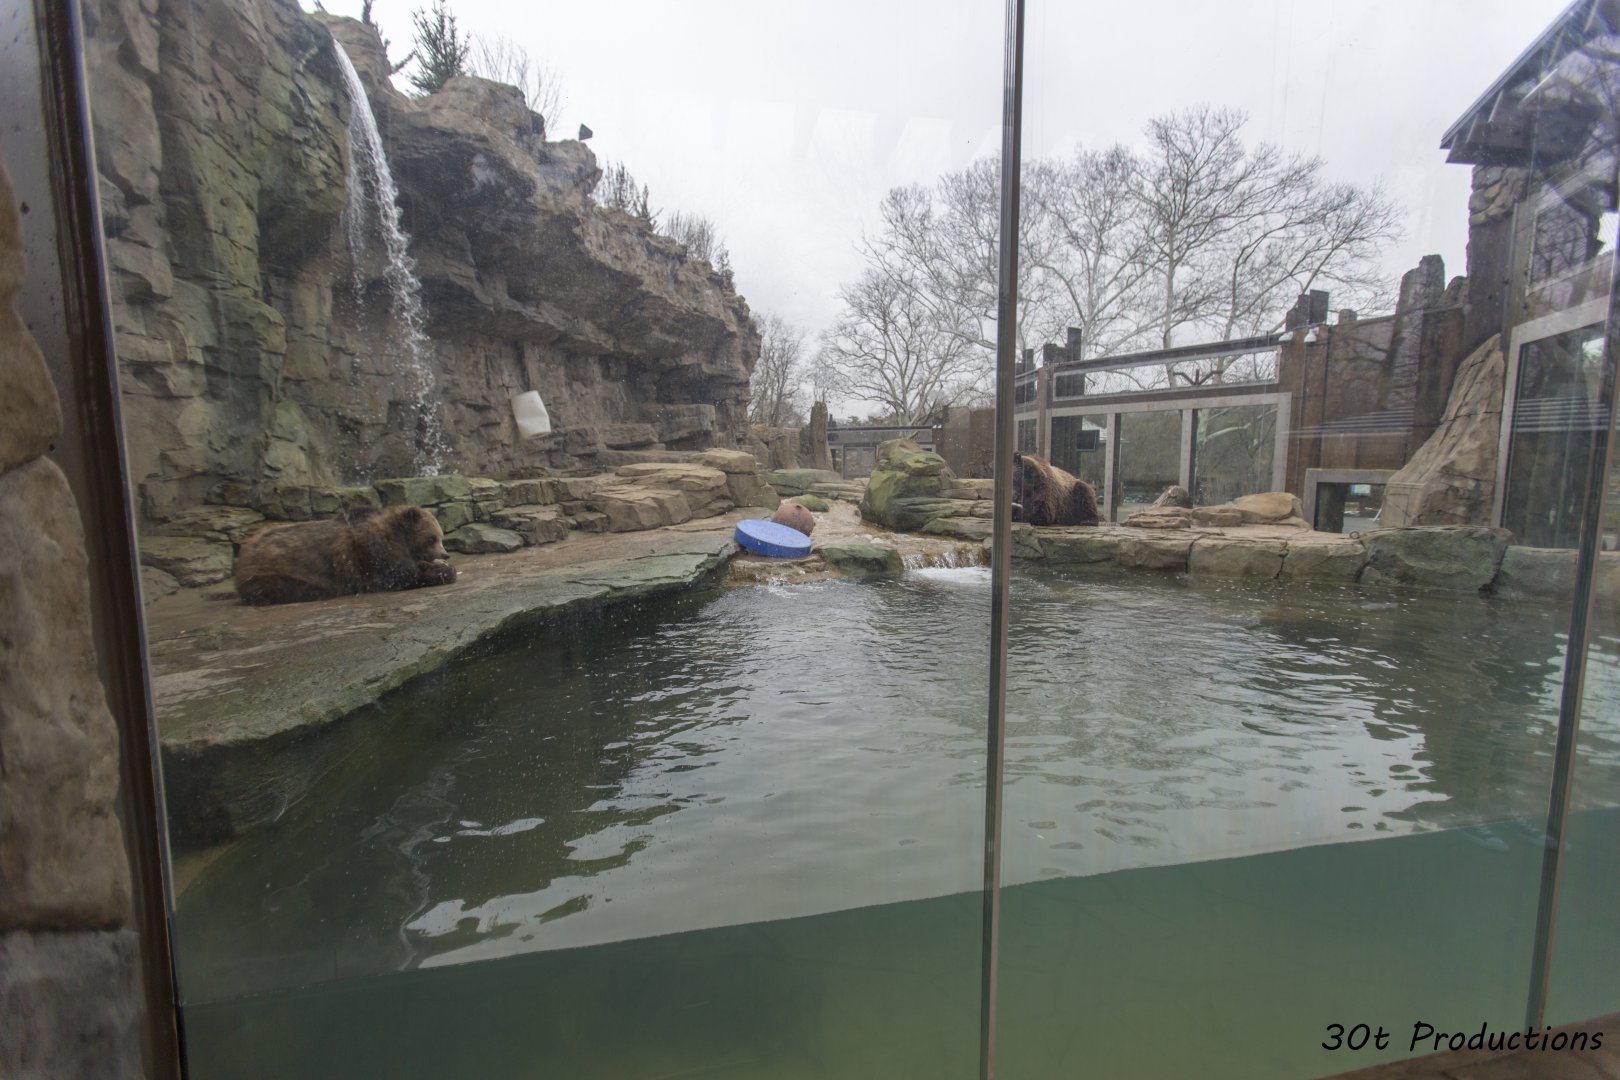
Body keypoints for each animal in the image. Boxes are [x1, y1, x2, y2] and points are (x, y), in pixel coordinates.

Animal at [233, 505, 457, 605]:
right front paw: (443, 572)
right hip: (273, 571)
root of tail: (244, 550)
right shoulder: (372, 555)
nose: (445, 554)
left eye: (441, 536)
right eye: (432, 538)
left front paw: (441, 567)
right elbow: (398, 576)